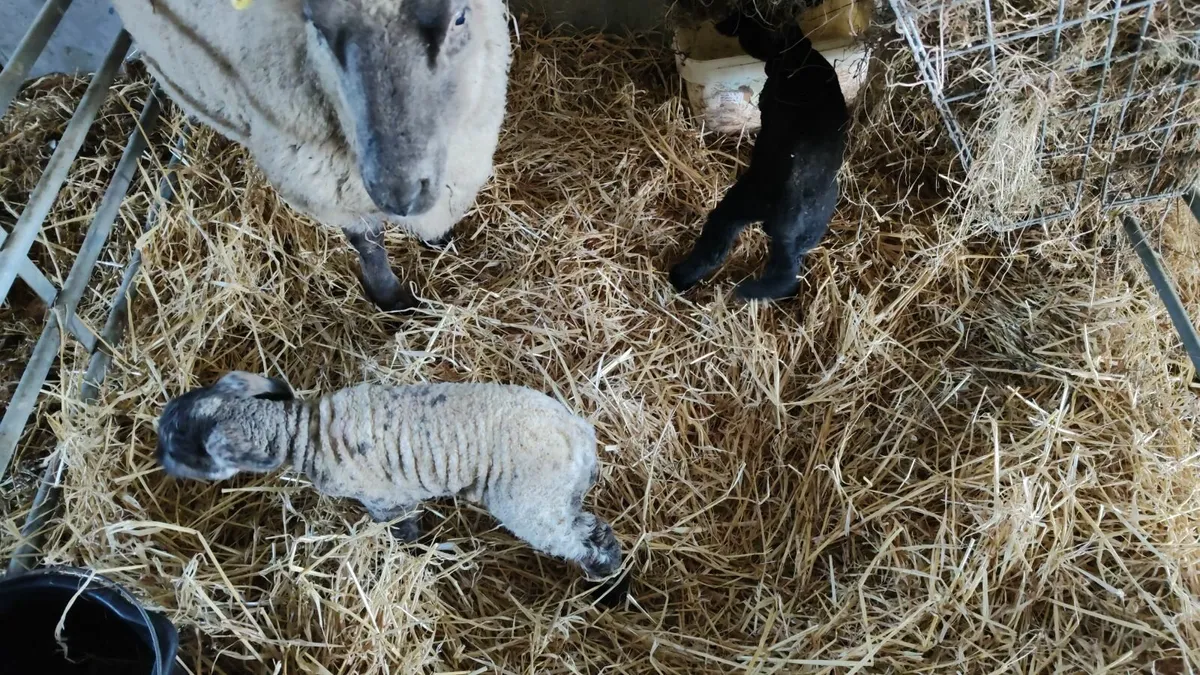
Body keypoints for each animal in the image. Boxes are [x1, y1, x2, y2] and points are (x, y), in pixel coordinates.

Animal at [108, 0, 512, 311]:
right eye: (317, 26)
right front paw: (392, 300)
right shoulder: (327, 188)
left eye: (459, 17)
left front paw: (442, 243)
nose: (399, 193)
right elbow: (368, 244)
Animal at [155, 372, 624, 583]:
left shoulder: (384, 499)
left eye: (179, 447)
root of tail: (579, 434)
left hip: (532, 504)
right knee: (594, 529)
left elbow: (404, 530)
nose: (160, 462)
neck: (303, 434)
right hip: (558, 497)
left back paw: (600, 574)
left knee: (574, 541)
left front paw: (408, 553)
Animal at [669, 12, 848, 302]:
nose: (722, 23)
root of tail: (789, 211)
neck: (798, 54)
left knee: (717, 247)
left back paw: (683, 278)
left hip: (741, 203)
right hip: (796, 231)